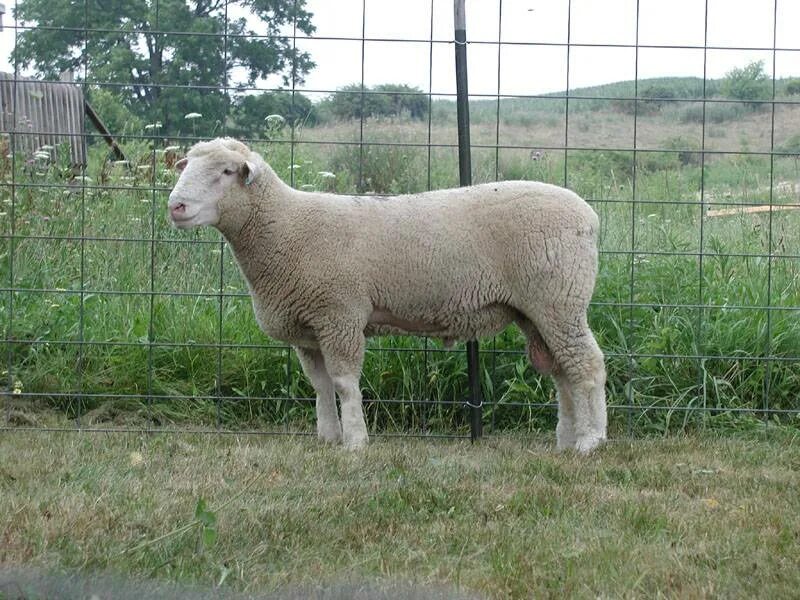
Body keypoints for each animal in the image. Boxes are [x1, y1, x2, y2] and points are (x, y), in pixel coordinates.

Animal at [168, 138, 607, 452]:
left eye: (227, 171)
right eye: (187, 165)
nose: (176, 206)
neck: (285, 226)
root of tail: (589, 216)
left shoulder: (339, 313)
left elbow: (344, 382)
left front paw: (355, 443)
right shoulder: (308, 327)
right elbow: (320, 386)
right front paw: (327, 438)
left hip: (559, 300)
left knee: (587, 365)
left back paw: (591, 441)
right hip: (536, 310)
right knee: (561, 371)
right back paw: (566, 440)